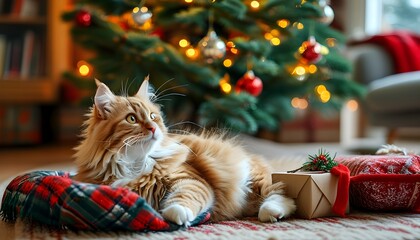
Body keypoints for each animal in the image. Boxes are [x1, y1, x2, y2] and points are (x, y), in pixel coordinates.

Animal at [74, 78, 296, 226]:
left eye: (153, 117)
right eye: (131, 119)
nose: (153, 129)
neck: (134, 163)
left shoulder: (191, 179)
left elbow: (184, 197)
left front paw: (176, 214)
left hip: (256, 178)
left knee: (283, 195)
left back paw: (271, 211)